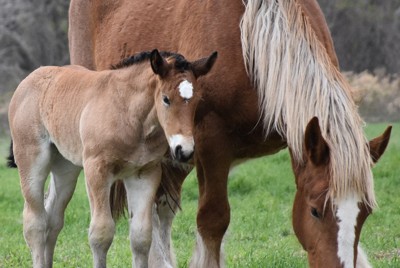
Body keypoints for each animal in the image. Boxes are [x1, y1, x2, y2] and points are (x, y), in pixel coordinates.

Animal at [7, 49, 216, 266]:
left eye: (197, 101)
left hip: (66, 167)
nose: (184, 150)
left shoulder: (145, 173)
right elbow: (101, 234)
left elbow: (141, 237)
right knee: (35, 222)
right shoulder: (97, 170)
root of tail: (28, 80)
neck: (130, 115)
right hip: (31, 160)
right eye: (166, 99)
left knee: (53, 219)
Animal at [68, 0, 390, 266]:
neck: (254, 52)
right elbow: (213, 220)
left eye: (366, 213)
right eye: (314, 210)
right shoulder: (211, 145)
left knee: (161, 207)